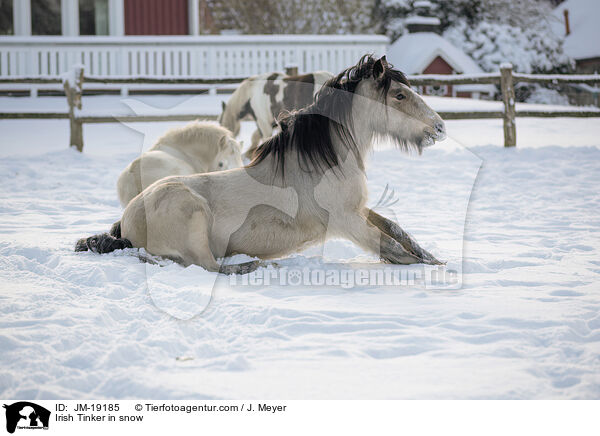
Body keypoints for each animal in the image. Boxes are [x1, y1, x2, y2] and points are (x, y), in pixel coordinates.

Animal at [76, 53, 446, 272]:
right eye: (399, 95)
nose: (440, 127)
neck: (320, 164)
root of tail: (126, 218)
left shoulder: (358, 210)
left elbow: (396, 230)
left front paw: (434, 257)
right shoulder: (345, 220)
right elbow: (390, 247)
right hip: (193, 219)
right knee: (207, 266)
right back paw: (257, 266)